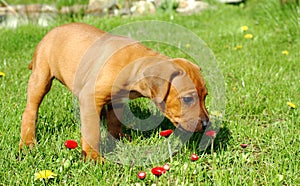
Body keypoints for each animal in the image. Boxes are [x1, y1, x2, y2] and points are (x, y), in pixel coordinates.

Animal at [19, 22, 210, 161]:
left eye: (205, 97)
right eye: (187, 99)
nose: (207, 124)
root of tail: (51, 32)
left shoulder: (117, 99)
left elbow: (114, 121)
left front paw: (120, 138)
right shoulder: (90, 98)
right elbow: (92, 131)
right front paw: (93, 158)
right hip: (41, 77)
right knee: (30, 111)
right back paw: (28, 142)